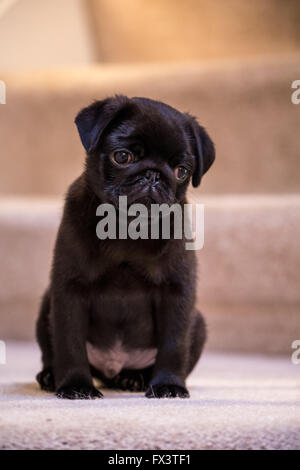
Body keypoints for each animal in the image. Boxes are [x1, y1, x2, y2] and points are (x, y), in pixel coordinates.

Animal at [36, 95, 214, 400]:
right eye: (122, 157)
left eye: (181, 171)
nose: (153, 175)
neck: (127, 229)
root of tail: (112, 369)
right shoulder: (69, 290)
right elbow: (69, 343)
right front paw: (75, 385)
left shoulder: (176, 290)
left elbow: (174, 344)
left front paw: (168, 385)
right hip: (47, 303)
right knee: (52, 351)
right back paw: (50, 376)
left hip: (198, 324)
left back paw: (134, 379)